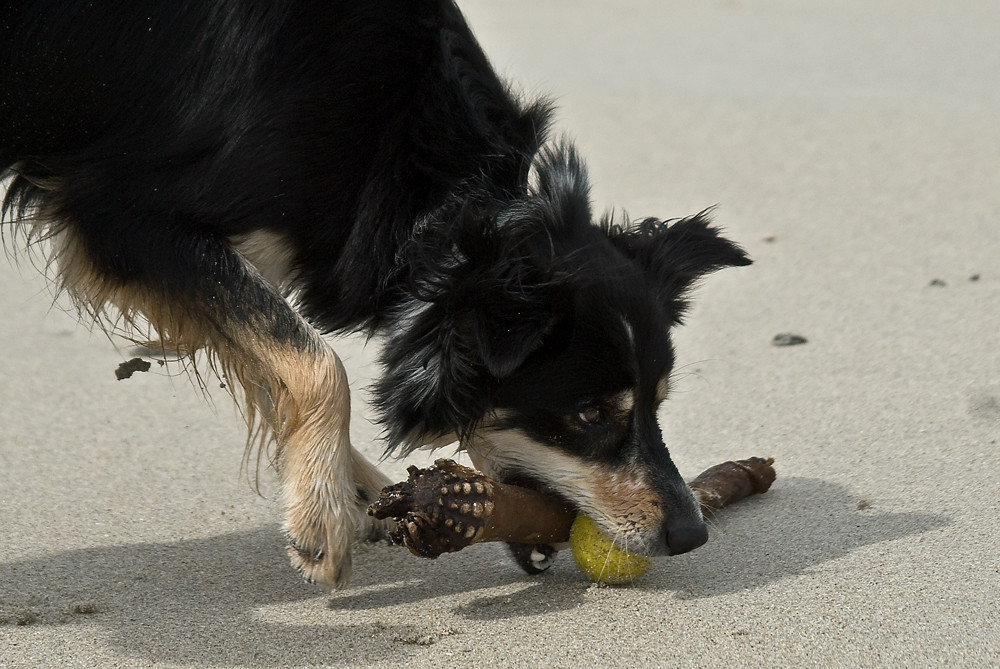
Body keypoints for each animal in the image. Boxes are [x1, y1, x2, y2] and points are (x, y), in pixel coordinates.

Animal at [0, 0, 752, 588]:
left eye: (658, 403)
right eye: (591, 413)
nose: (691, 535)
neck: (442, 210)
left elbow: (275, 357)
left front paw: (356, 491)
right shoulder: (121, 211)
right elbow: (315, 360)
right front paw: (320, 518)